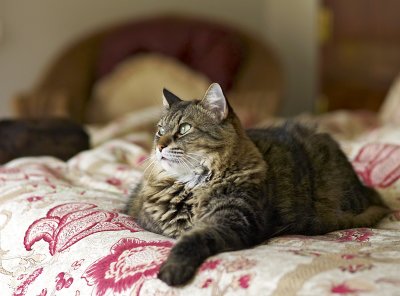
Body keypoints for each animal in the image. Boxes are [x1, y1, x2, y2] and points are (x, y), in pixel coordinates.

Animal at [126, 82, 390, 286]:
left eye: (184, 128)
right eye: (159, 131)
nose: (159, 146)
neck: (193, 185)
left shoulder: (232, 217)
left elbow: (193, 238)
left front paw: (173, 268)